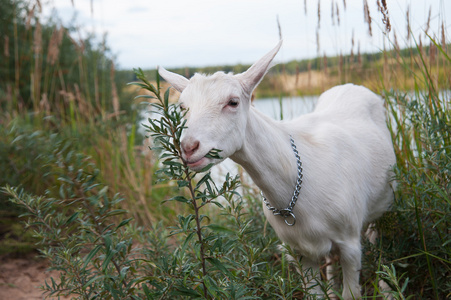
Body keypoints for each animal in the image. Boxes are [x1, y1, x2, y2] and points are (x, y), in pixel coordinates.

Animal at [158, 40, 396, 300]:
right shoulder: (300, 251)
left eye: (233, 102)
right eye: (183, 107)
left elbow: (351, 293)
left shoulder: (350, 242)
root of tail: (351, 86)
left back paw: (387, 289)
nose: (188, 147)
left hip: (380, 205)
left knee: (378, 241)